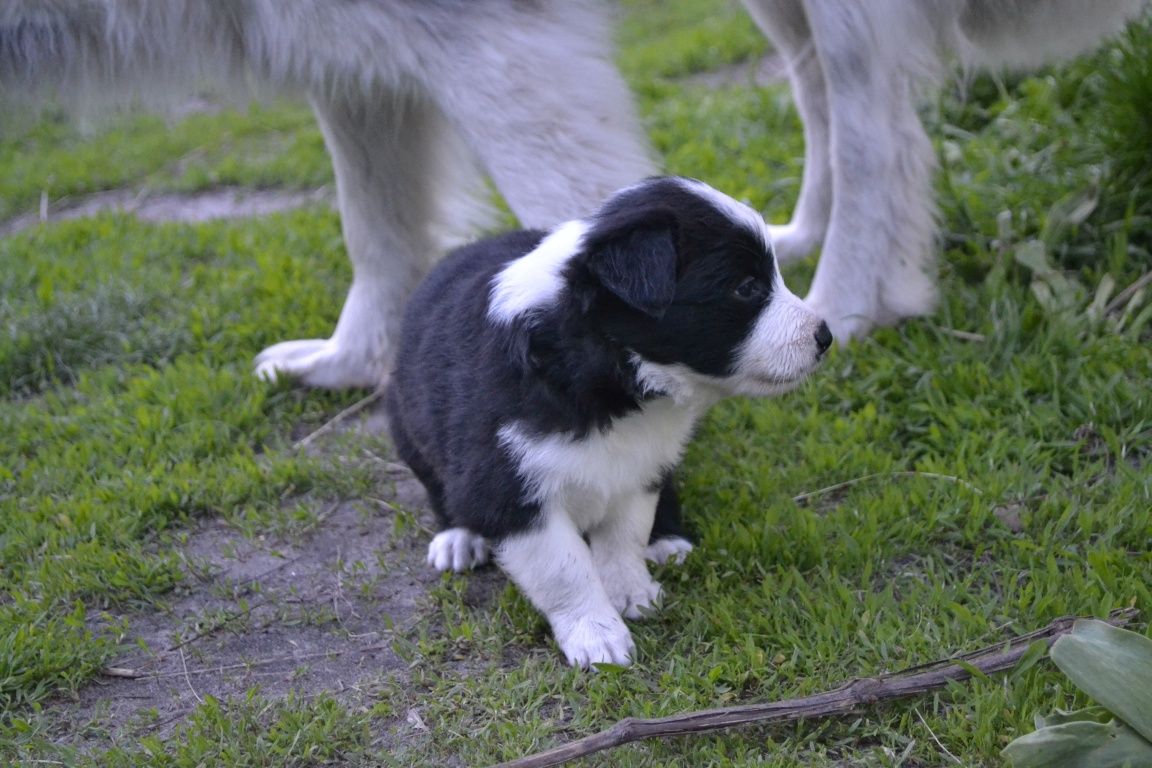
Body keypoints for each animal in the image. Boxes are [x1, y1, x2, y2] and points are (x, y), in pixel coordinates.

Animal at [384, 178, 829, 667]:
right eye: (748, 288)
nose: (825, 336)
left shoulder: (636, 467)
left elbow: (622, 538)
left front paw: (631, 592)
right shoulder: (508, 490)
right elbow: (565, 570)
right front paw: (596, 634)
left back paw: (666, 538)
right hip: (406, 423)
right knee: (438, 485)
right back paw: (458, 537)